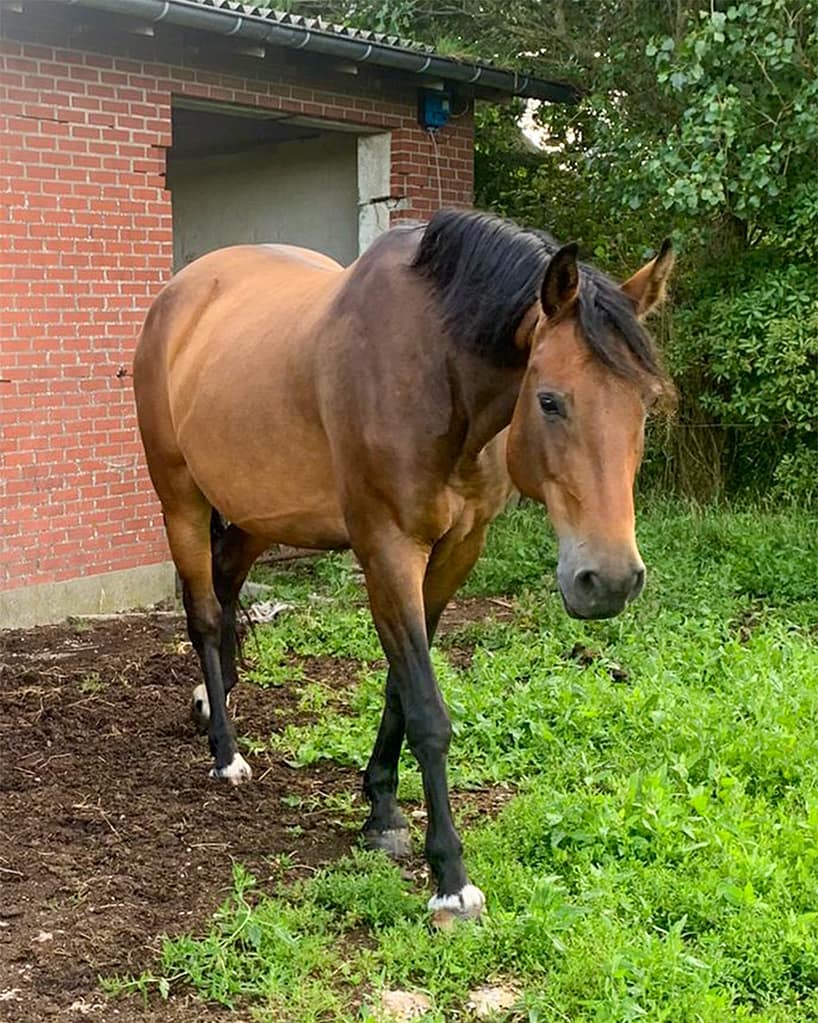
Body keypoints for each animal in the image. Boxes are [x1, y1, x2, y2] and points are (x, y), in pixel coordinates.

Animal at [133, 209, 674, 923]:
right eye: (550, 401)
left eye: (646, 403)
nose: (608, 580)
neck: (436, 374)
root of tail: (179, 293)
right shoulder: (387, 550)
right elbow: (426, 708)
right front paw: (450, 877)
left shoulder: (456, 553)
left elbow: (397, 688)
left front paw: (383, 810)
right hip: (181, 500)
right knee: (201, 614)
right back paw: (225, 752)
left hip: (255, 514)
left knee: (223, 599)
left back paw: (209, 699)